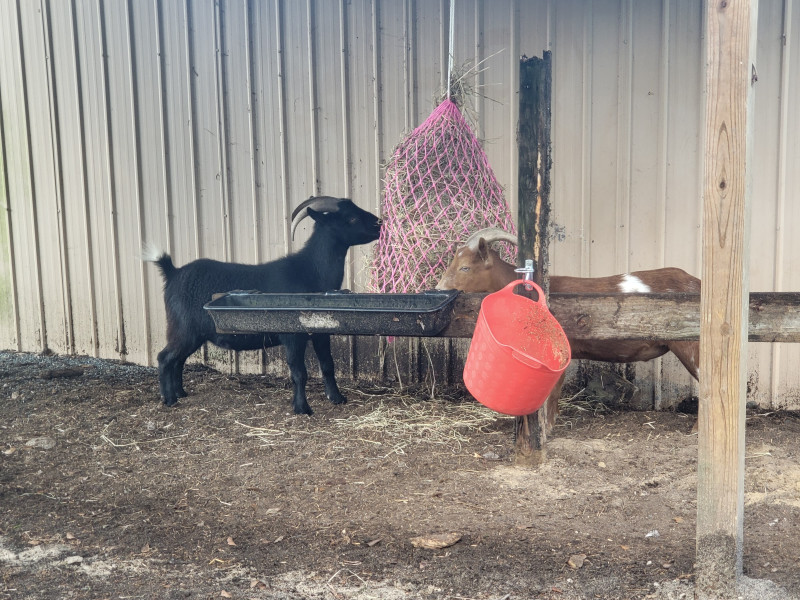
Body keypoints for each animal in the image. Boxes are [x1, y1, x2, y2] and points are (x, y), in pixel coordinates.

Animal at [144, 196, 382, 415]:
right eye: (350, 218)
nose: (380, 223)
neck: (309, 271)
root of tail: (172, 272)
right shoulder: (292, 334)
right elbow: (299, 373)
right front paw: (302, 408)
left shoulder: (321, 331)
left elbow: (328, 365)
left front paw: (337, 398)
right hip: (183, 328)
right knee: (165, 358)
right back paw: (169, 399)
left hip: (193, 333)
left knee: (178, 360)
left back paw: (180, 393)